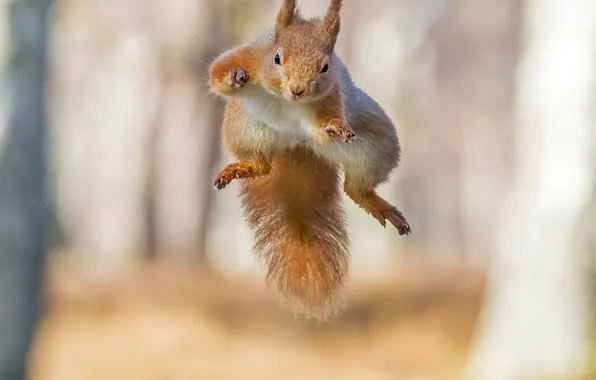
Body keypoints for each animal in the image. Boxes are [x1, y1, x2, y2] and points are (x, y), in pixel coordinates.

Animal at [208, 1, 410, 320]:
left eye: (325, 67)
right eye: (277, 57)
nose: (297, 90)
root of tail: (295, 146)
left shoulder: (331, 96)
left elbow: (324, 122)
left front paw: (333, 127)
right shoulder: (250, 55)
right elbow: (217, 73)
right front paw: (233, 77)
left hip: (377, 144)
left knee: (354, 188)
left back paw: (374, 202)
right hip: (245, 128)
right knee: (263, 165)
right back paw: (243, 166)